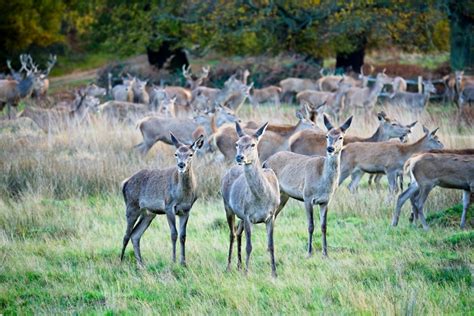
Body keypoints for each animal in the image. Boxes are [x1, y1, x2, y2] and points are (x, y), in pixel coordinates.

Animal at [120, 132, 204, 266]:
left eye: (190, 154)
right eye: (176, 154)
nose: (181, 165)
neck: (182, 196)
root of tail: (125, 183)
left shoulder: (186, 210)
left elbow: (183, 236)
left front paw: (183, 263)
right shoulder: (169, 206)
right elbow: (174, 234)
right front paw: (173, 261)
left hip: (148, 213)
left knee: (135, 235)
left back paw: (141, 264)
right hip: (131, 206)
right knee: (126, 235)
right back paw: (121, 261)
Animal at [222, 121, 282, 276]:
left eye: (253, 144)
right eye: (237, 144)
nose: (240, 157)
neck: (262, 199)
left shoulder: (271, 215)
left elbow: (271, 245)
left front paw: (274, 273)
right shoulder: (248, 215)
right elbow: (249, 246)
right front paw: (247, 272)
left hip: (240, 216)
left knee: (238, 232)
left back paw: (239, 265)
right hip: (227, 206)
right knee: (232, 234)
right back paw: (229, 266)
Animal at [264, 115, 354, 258]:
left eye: (341, 137)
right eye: (327, 136)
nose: (330, 149)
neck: (323, 182)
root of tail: (265, 161)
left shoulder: (325, 201)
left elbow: (324, 226)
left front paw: (325, 253)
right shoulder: (307, 197)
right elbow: (311, 225)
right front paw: (309, 252)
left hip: (283, 196)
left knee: (273, 218)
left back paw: (268, 248)